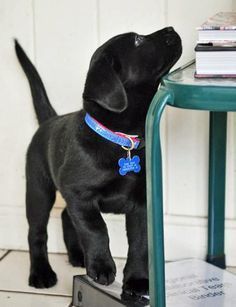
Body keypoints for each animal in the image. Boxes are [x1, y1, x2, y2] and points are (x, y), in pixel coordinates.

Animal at [15, 27, 181, 298]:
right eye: (138, 41)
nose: (171, 29)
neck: (121, 140)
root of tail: (49, 120)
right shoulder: (79, 194)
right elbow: (96, 229)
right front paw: (102, 267)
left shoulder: (142, 202)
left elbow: (140, 243)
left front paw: (137, 281)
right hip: (38, 190)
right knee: (37, 233)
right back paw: (41, 273)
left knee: (66, 216)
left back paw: (76, 255)